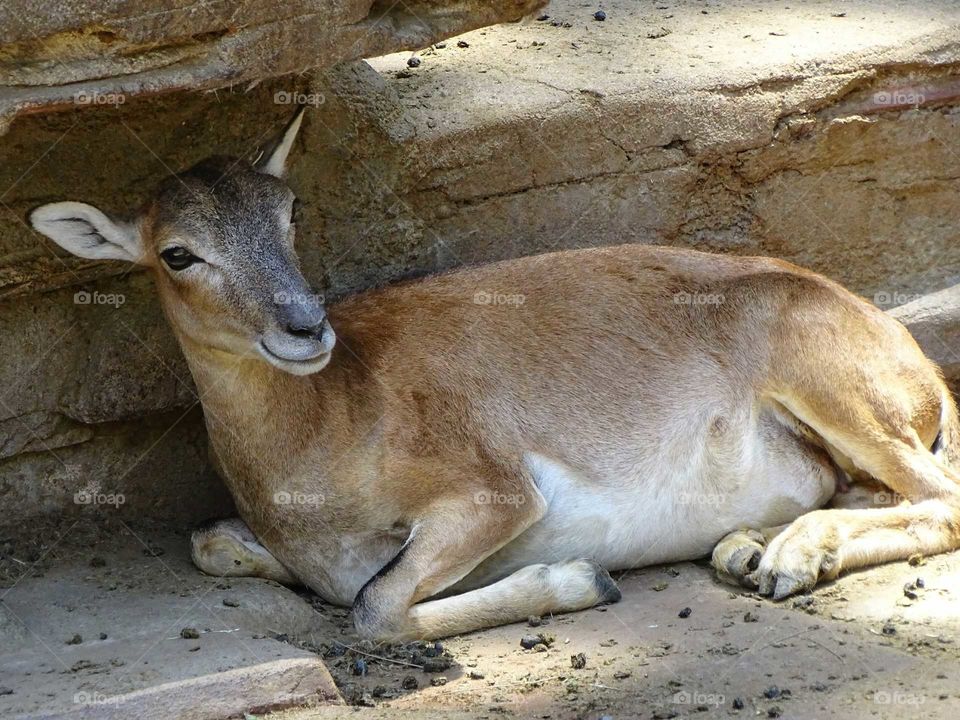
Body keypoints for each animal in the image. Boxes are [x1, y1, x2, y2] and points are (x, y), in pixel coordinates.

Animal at [30, 108, 960, 642]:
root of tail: (920, 372)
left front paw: (581, 578)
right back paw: (751, 547)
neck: (332, 426)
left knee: (941, 497)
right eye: (177, 253)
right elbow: (214, 544)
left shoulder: (494, 491)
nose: (303, 326)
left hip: (827, 380)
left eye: (290, 212)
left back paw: (784, 558)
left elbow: (374, 607)